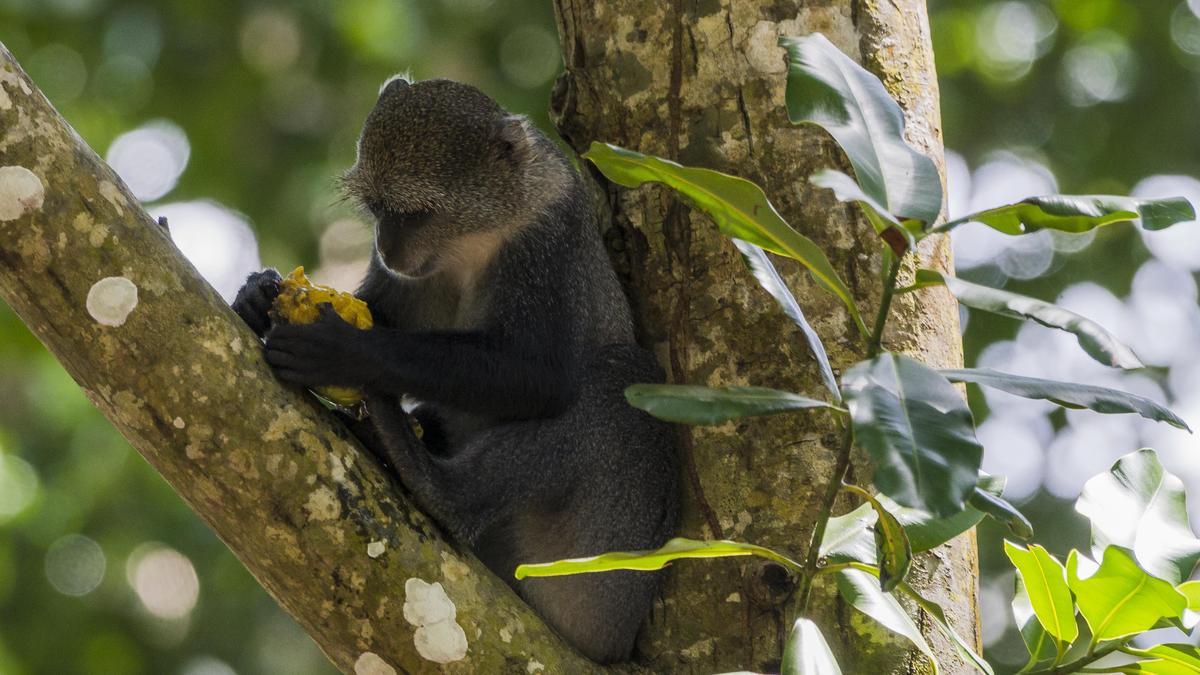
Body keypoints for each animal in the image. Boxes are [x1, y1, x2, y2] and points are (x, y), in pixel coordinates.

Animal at [231, 76, 686, 658]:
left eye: (415, 213)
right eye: (376, 208)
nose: (385, 247)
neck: (480, 231)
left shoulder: (546, 240)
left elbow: (544, 378)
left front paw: (346, 351)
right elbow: (384, 310)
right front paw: (258, 295)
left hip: (599, 573)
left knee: (624, 377)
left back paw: (429, 479)